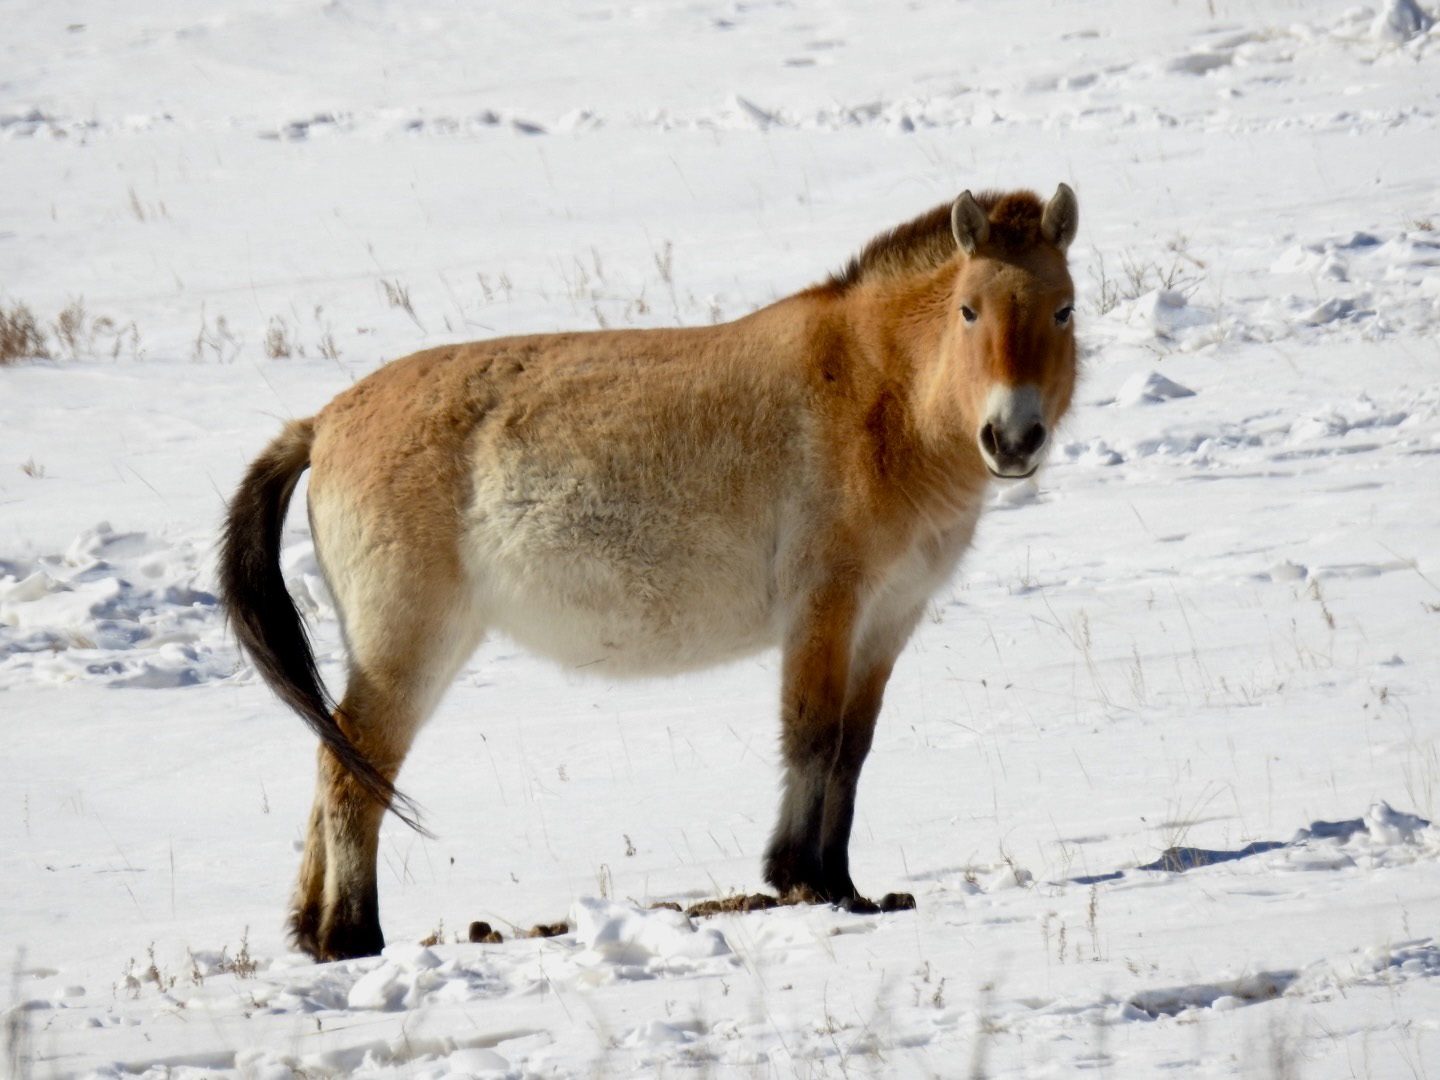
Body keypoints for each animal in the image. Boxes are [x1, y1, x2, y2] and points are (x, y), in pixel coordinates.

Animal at [220, 183, 1080, 961]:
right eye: (969, 310)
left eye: (1064, 310)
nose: (1012, 438)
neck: (880, 394)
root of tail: (321, 424)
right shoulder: (825, 608)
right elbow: (811, 736)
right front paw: (803, 879)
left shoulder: (887, 619)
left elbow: (851, 747)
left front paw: (842, 884)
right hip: (408, 645)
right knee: (351, 770)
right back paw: (352, 937)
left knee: (336, 758)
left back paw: (315, 934)